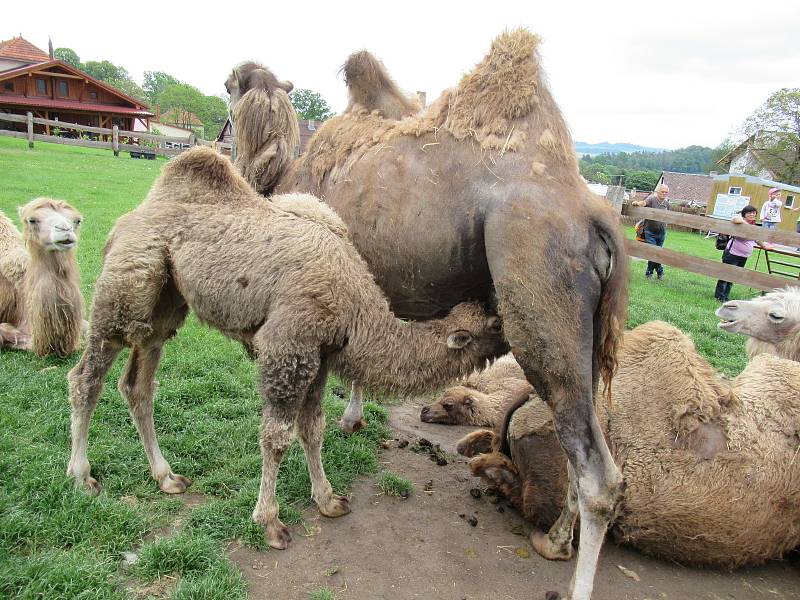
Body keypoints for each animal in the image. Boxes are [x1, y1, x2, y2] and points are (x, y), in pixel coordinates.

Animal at [67, 148, 506, 552]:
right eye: (495, 324)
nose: (510, 327)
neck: (355, 307)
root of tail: (130, 217)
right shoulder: (288, 345)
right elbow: (276, 436)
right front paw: (269, 522)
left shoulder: (320, 356)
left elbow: (312, 428)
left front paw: (328, 499)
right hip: (127, 285)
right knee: (86, 377)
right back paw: (81, 476)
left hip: (165, 305)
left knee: (138, 385)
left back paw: (166, 476)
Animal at [228, 29, 628, 600]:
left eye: (227, 86)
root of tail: (597, 216)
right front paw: (352, 420)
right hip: (587, 341)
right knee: (578, 442)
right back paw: (554, 541)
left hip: (541, 305)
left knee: (599, 473)